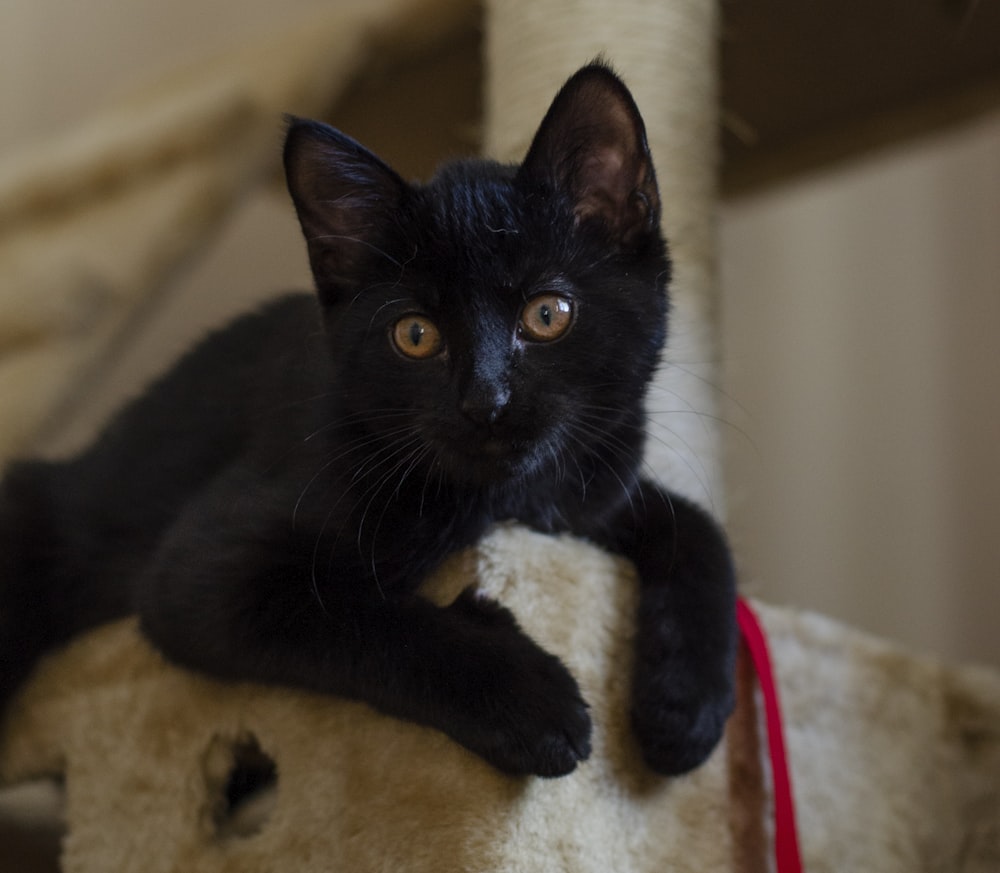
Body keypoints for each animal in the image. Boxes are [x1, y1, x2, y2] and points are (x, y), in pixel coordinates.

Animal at [0, 64, 736, 780]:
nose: (485, 401)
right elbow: (367, 616)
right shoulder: (199, 575)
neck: (498, 498)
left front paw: (688, 710)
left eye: (548, 314)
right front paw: (531, 697)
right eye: (415, 334)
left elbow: (697, 527)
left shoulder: (591, 487)